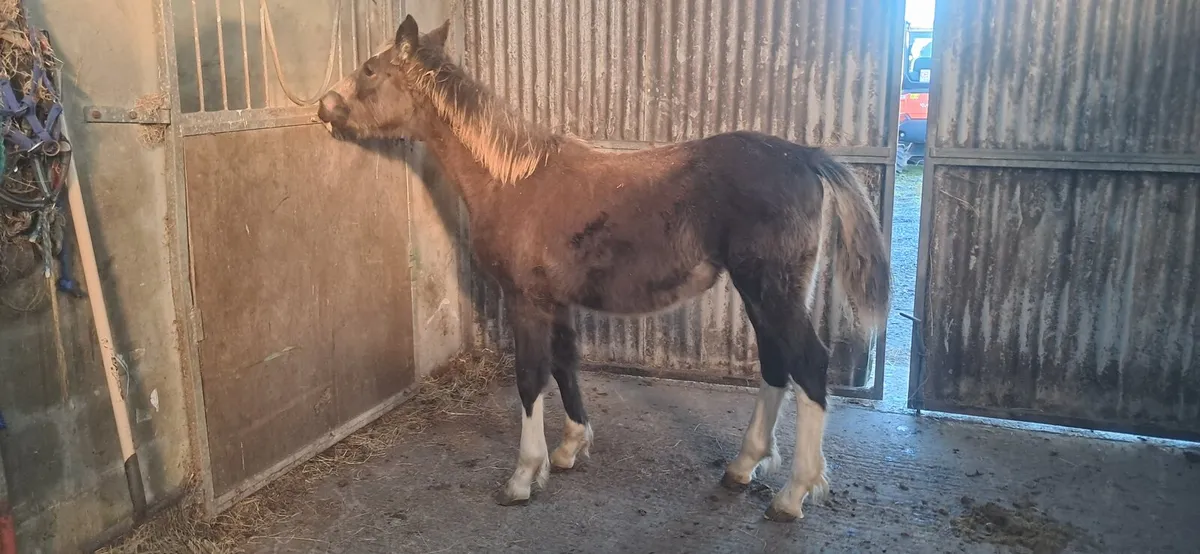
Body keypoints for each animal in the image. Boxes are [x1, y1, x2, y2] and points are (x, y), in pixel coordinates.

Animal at [317, 15, 891, 522]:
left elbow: (530, 377)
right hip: (763, 293)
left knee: (809, 366)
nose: (324, 106)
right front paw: (571, 448)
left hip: (770, 289)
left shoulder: (525, 301)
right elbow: (565, 363)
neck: (512, 179)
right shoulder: (555, 301)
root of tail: (807, 156)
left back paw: (793, 495)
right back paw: (743, 466)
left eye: (370, 68)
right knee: (775, 363)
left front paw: (525, 476)